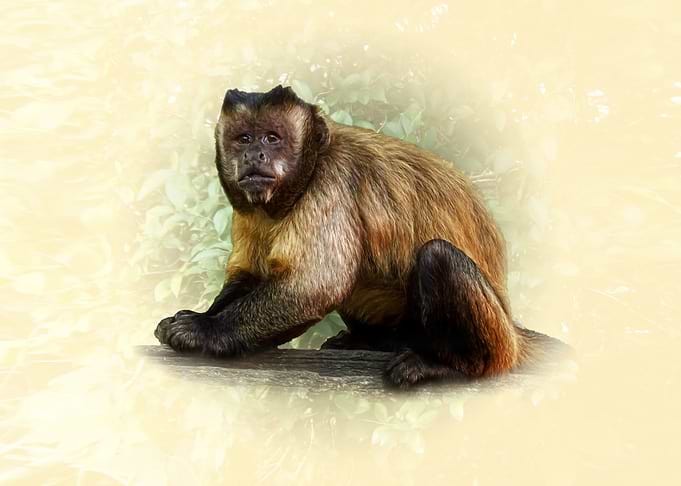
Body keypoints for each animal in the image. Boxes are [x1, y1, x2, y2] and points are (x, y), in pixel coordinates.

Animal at [154, 84, 568, 388]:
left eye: (272, 138)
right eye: (244, 138)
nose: (255, 155)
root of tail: (513, 333)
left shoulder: (331, 183)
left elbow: (316, 284)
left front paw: (205, 330)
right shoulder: (249, 208)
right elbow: (251, 275)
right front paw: (197, 315)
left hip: (498, 343)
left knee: (437, 256)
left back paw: (451, 365)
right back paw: (374, 341)